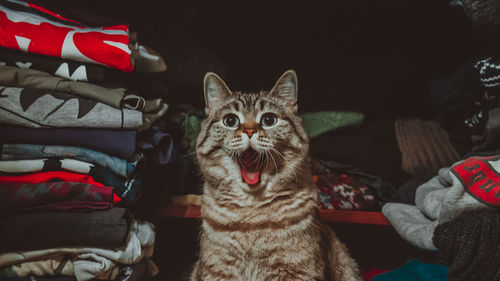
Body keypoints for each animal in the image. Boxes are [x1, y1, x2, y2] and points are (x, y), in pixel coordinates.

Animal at [190, 70, 360, 280]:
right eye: (230, 121)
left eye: (269, 120)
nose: (249, 130)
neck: (251, 213)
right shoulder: (219, 270)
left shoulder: (295, 271)